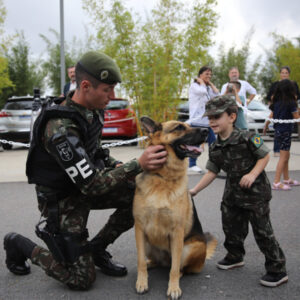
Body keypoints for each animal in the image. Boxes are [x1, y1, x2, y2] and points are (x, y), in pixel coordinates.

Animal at [133, 116, 216, 298]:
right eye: (179, 127)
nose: (206, 131)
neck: (162, 177)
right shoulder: (139, 228)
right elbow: (139, 261)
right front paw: (142, 282)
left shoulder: (177, 232)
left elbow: (174, 268)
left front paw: (173, 288)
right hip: (148, 244)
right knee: (156, 261)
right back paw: (151, 263)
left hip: (188, 248)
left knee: (178, 267)